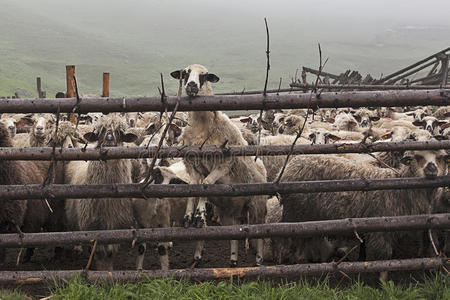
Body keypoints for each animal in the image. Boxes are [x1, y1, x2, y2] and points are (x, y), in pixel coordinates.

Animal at [65, 113, 138, 270]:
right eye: (101, 132)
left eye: (119, 132)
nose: (109, 138)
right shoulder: (93, 226)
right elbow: (98, 252)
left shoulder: (116, 225)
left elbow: (110, 253)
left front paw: (108, 270)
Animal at [171, 64, 266, 266]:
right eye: (185, 73)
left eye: (204, 76)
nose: (191, 85)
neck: (202, 125)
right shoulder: (194, 166)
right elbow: (193, 187)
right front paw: (189, 216)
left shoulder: (222, 165)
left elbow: (206, 184)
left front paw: (199, 216)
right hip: (231, 210)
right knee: (234, 234)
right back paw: (232, 260)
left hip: (257, 205)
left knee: (260, 233)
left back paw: (259, 260)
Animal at [280, 148, 448, 278]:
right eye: (418, 157)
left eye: (440, 158)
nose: (432, 168)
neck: (402, 188)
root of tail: (293, 163)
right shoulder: (381, 229)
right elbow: (384, 258)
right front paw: (383, 282)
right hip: (296, 215)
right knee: (296, 244)